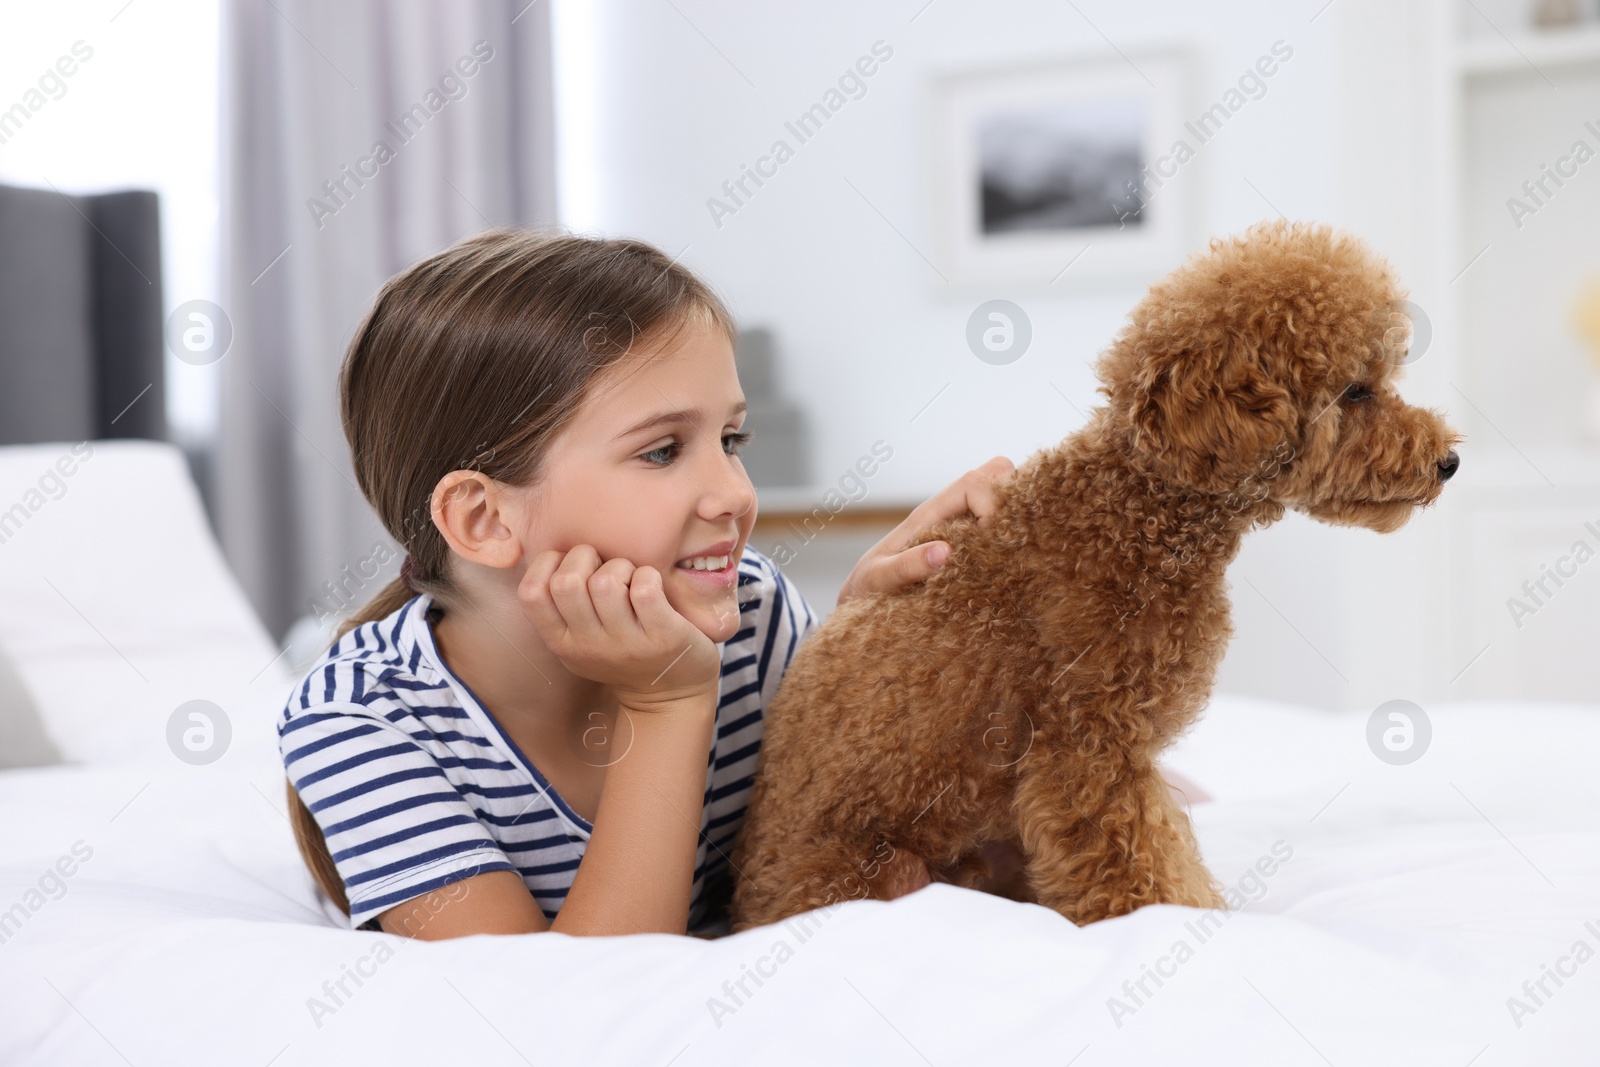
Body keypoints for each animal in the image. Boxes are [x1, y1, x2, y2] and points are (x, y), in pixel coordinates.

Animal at [732, 220, 1465, 927]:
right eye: (1357, 391)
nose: (1449, 461)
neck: (1139, 511)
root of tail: (749, 901)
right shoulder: (1088, 745)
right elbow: (1138, 865)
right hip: (877, 872)